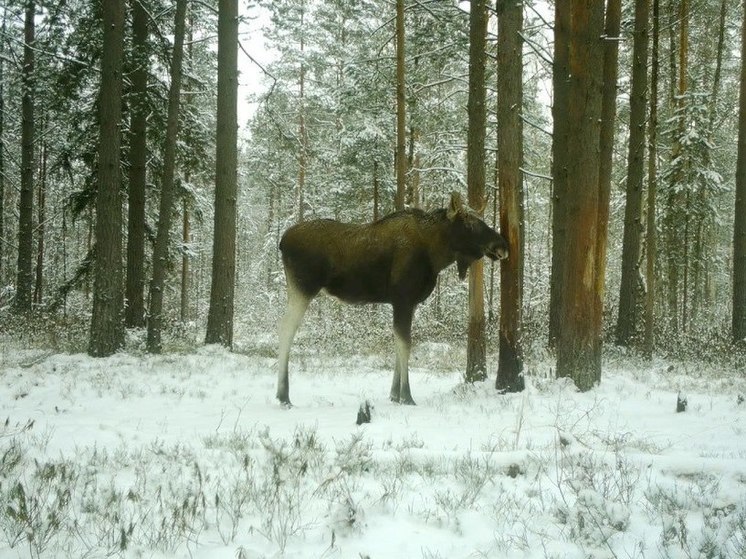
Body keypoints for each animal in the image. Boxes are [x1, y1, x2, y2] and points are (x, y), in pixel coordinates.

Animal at [276, 192, 508, 406]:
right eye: (468, 221)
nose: (502, 245)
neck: (436, 255)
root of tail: (282, 242)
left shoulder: (408, 303)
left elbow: (399, 342)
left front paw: (394, 395)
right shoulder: (403, 298)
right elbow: (405, 344)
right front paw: (406, 395)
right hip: (303, 288)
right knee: (286, 329)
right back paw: (283, 395)